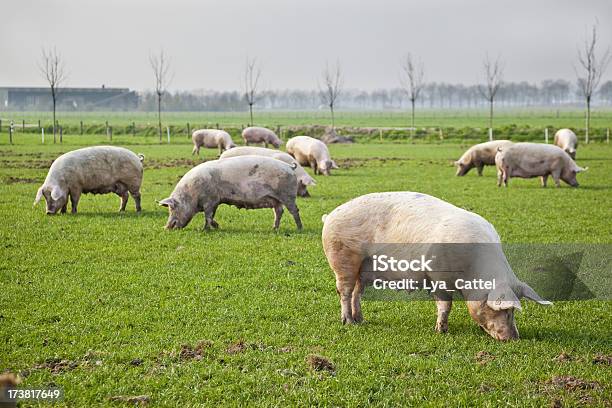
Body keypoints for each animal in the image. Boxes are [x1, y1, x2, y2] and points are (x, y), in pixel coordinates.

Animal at [158, 156, 302, 231]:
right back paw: (274, 229)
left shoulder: (210, 200)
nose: (166, 227)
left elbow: (208, 215)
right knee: (279, 212)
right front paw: (213, 227)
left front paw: (208, 229)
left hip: (287, 195)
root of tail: (290, 167)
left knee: (294, 210)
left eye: (172, 208)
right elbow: (210, 215)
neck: (191, 193)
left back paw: (299, 228)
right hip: (276, 199)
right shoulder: (215, 201)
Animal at [322, 191, 552, 342]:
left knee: (357, 292)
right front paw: (441, 330)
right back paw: (348, 322)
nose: (514, 338)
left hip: (364, 268)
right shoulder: (437, 276)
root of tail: (330, 215)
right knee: (344, 291)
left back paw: (360, 319)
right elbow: (445, 305)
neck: (471, 273)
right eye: (506, 311)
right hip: (342, 258)